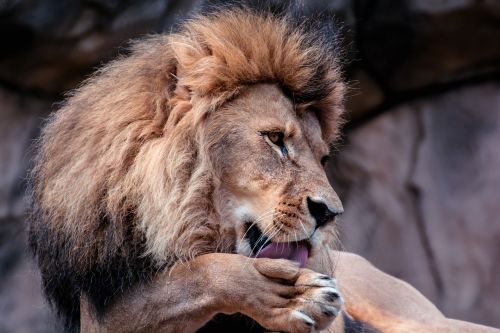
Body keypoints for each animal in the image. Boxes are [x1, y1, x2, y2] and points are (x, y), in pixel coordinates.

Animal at [28, 2, 500, 332]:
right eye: (276, 140)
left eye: (323, 158)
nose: (330, 214)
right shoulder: (103, 309)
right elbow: (187, 279)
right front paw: (289, 295)